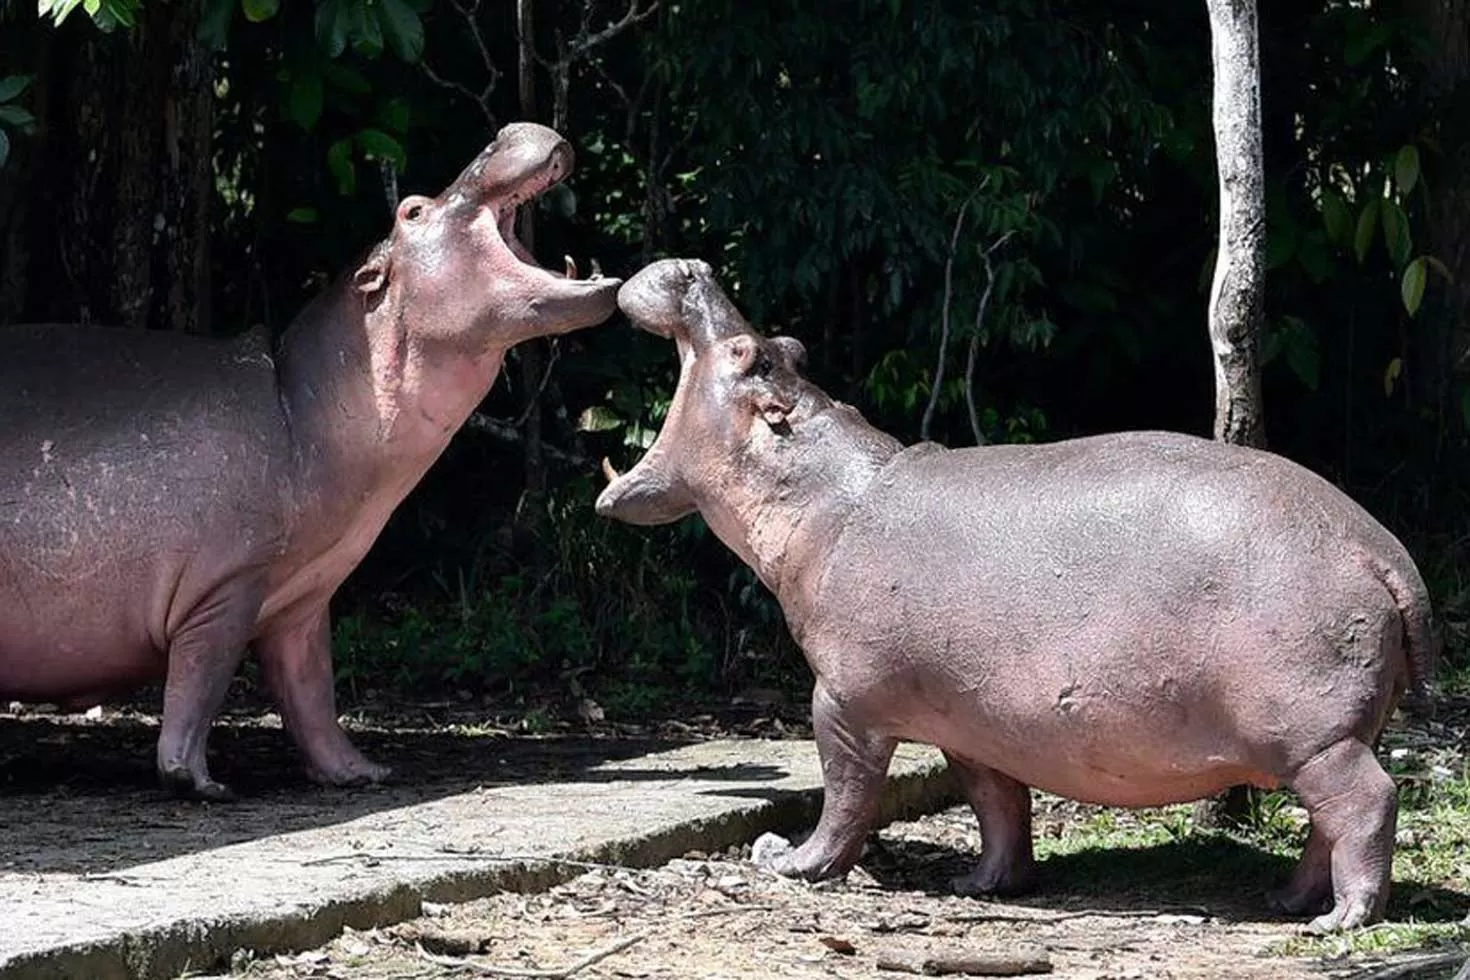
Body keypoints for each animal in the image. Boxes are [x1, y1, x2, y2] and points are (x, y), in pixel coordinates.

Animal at [0, 122, 620, 799]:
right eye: (412, 210)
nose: (507, 131)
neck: (303, 400)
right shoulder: (225, 589)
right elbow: (199, 685)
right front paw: (201, 784)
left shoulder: (303, 596)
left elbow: (312, 694)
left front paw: (363, 773)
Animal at [593, 257, 1434, 934]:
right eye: (788, 347)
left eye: (749, 354)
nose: (692, 265)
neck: (823, 495)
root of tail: (1384, 549)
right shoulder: (969, 723)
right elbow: (996, 804)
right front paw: (984, 884)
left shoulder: (843, 701)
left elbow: (846, 794)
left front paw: (789, 861)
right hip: (1324, 736)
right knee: (1326, 824)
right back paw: (1288, 901)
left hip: (1314, 737)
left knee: (1366, 803)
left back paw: (1340, 920)